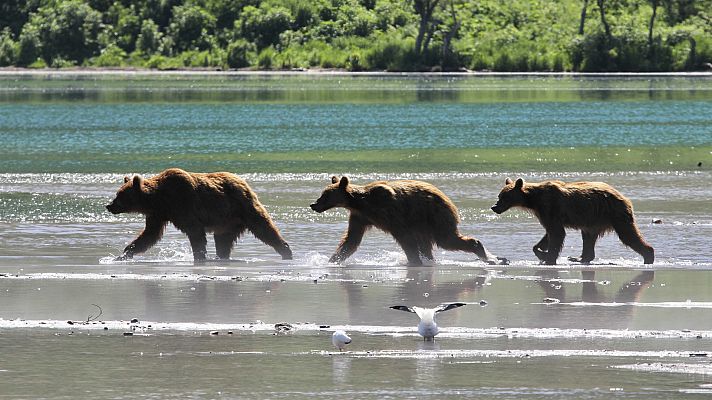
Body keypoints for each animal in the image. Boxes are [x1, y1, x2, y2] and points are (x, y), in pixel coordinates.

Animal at [105, 168, 292, 262]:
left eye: (120, 196)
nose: (109, 206)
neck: (160, 199)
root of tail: (244, 182)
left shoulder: (184, 204)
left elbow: (195, 233)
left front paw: (199, 256)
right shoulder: (158, 214)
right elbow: (149, 235)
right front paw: (123, 254)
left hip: (242, 208)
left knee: (263, 228)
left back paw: (286, 251)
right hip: (227, 223)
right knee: (223, 240)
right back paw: (221, 256)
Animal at [310, 176, 506, 266]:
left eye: (325, 195)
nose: (313, 204)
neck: (360, 203)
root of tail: (449, 201)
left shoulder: (391, 212)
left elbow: (404, 238)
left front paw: (413, 260)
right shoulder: (360, 217)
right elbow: (351, 240)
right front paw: (332, 259)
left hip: (435, 216)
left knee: (446, 239)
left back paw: (484, 254)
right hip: (424, 224)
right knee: (429, 244)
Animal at [492, 178, 652, 266]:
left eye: (504, 197)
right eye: (499, 196)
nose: (494, 207)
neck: (533, 201)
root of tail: (625, 198)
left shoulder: (550, 207)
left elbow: (556, 233)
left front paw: (549, 258)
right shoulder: (545, 214)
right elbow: (548, 234)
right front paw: (542, 252)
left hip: (615, 214)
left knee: (628, 235)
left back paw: (648, 256)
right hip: (593, 219)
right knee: (588, 237)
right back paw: (579, 258)